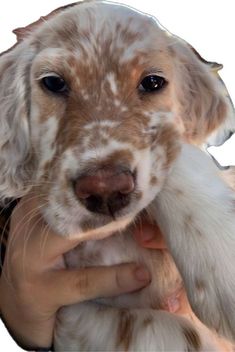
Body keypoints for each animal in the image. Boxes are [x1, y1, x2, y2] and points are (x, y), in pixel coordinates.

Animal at [0, 1, 235, 350]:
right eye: (53, 83)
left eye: (152, 83)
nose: (105, 191)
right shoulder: (72, 311)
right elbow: (160, 330)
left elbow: (173, 145)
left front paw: (222, 256)